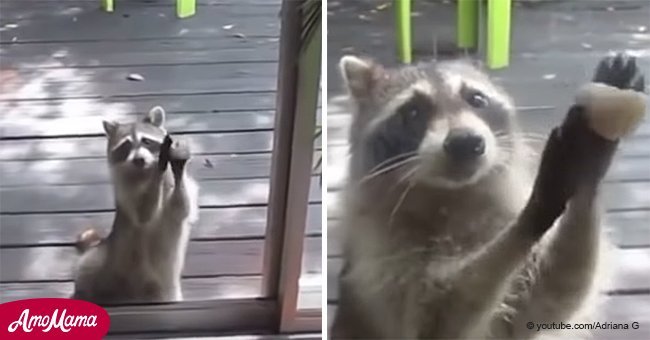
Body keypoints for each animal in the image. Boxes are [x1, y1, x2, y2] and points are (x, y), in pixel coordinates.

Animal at [72, 107, 199, 306]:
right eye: (126, 145)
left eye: (146, 141)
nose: (139, 160)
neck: (143, 173)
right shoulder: (125, 193)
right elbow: (143, 214)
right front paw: (159, 168)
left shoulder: (177, 192)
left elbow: (180, 209)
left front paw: (175, 167)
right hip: (106, 260)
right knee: (89, 264)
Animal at [332, 53, 644, 338]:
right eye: (412, 112)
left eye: (476, 100)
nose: (466, 142)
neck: (452, 196)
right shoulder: (379, 263)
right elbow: (438, 318)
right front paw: (533, 212)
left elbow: (552, 298)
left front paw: (591, 156)